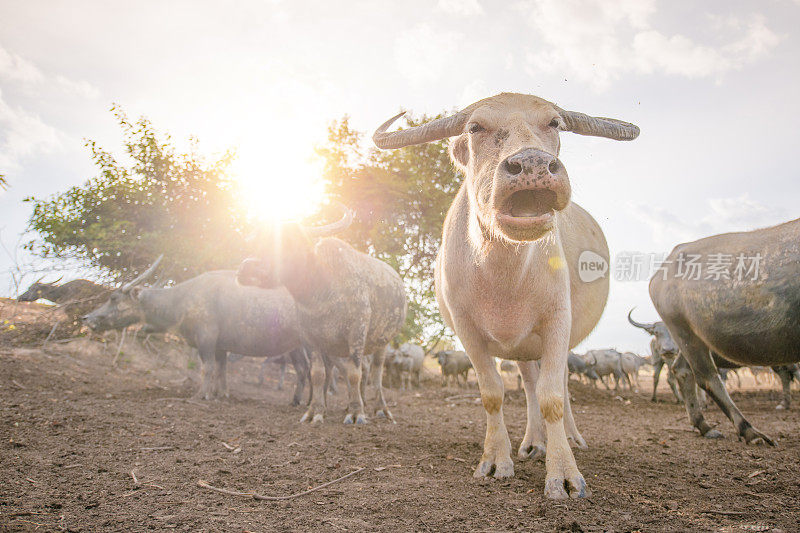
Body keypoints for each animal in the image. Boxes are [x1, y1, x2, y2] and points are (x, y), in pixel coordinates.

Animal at [84, 262, 310, 404]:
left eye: (113, 298)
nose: (87, 318)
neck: (183, 299)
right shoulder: (220, 347)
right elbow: (221, 371)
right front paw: (221, 394)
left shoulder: (206, 340)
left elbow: (206, 368)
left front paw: (201, 395)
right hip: (297, 349)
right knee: (303, 371)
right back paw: (298, 401)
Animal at [234, 204, 404, 424]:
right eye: (257, 241)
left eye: (289, 242)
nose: (247, 268)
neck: (322, 291)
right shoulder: (311, 340)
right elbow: (317, 374)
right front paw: (315, 411)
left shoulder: (357, 335)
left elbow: (354, 374)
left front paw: (357, 413)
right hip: (332, 347)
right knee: (337, 371)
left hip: (382, 342)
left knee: (375, 372)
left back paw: (379, 408)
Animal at [372, 93, 640, 496]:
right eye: (475, 127)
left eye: (555, 123)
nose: (532, 163)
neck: (504, 277)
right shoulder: (467, 331)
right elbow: (492, 393)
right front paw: (496, 460)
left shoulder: (558, 321)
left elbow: (553, 396)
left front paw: (564, 474)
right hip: (524, 348)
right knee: (528, 384)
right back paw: (532, 443)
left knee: (558, 383)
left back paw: (570, 438)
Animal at [648, 217, 800, 444]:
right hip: (684, 332)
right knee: (706, 377)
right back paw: (749, 430)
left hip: (689, 339)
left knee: (682, 370)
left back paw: (704, 425)